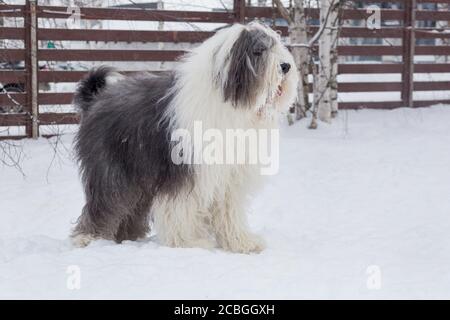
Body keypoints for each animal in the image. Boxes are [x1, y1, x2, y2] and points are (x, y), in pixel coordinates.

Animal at [71, 21, 298, 254]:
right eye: (258, 51)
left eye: (276, 45)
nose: (286, 66)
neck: (232, 103)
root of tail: (96, 99)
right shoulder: (185, 169)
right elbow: (181, 207)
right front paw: (189, 242)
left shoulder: (230, 174)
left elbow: (229, 209)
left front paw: (241, 242)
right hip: (112, 170)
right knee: (105, 202)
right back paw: (88, 238)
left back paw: (127, 237)